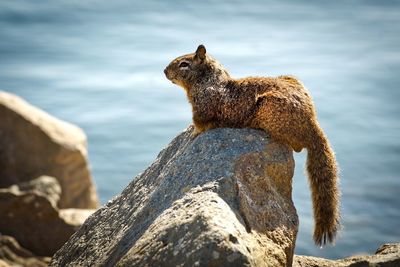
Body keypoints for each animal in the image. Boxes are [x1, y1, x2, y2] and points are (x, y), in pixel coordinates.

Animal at [164, 44, 340, 247]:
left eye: (184, 64)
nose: (165, 71)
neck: (207, 80)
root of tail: (312, 122)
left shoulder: (202, 109)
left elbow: (200, 125)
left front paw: (192, 133)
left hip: (271, 109)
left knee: (296, 145)